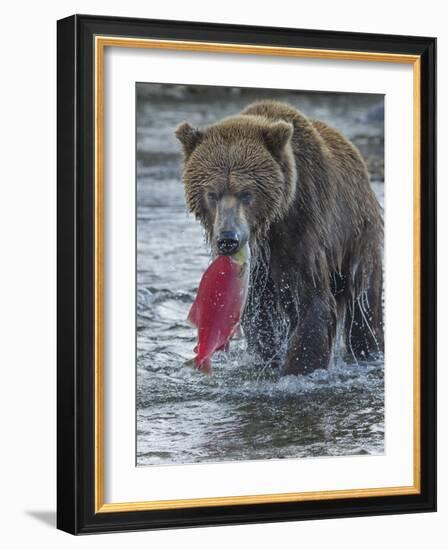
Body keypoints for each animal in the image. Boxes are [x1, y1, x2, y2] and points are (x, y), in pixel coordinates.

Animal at [177, 100, 384, 376]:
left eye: (246, 193)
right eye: (212, 193)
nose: (228, 239)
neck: (271, 224)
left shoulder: (303, 227)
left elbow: (312, 302)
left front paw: (298, 368)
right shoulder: (259, 264)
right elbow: (258, 314)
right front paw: (269, 358)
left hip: (357, 235)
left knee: (364, 307)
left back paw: (367, 351)